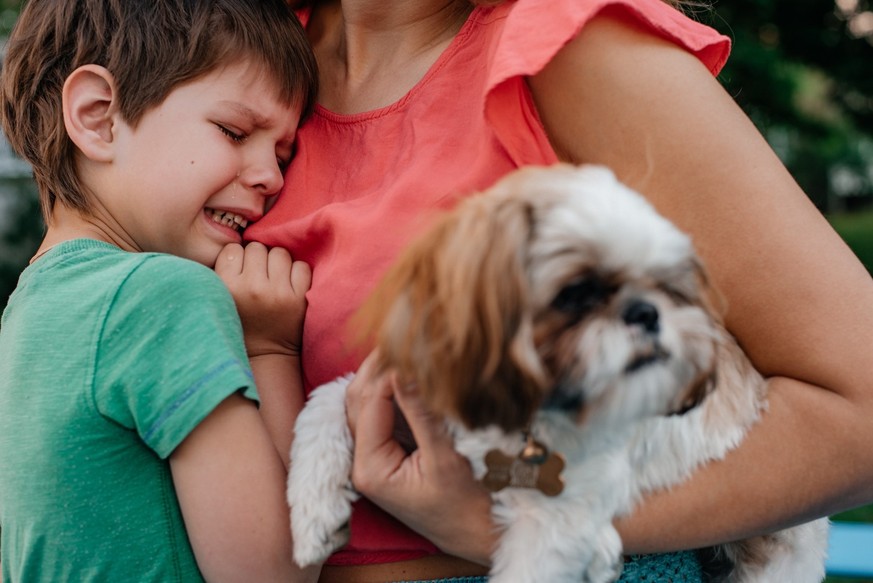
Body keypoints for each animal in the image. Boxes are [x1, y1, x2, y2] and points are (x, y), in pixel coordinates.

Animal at [290, 163, 828, 583]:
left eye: (665, 286)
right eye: (576, 293)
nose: (647, 312)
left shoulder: (552, 516)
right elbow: (324, 402)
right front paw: (314, 514)